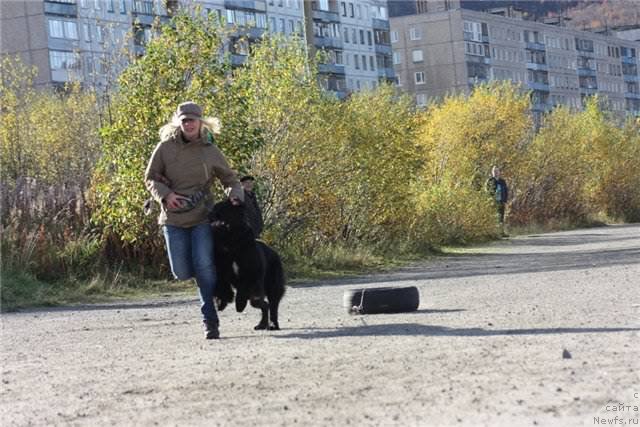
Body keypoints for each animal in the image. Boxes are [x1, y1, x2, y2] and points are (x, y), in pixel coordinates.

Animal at [210, 201, 284, 332]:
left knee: (271, 303)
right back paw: (261, 324)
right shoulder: (221, 268)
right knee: (264, 304)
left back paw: (273, 325)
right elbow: (222, 284)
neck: (231, 245)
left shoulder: (251, 273)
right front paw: (221, 301)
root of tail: (274, 252)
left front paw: (239, 304)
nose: (210, 218)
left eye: (220, 213)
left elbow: (244, 287)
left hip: (272, 282)